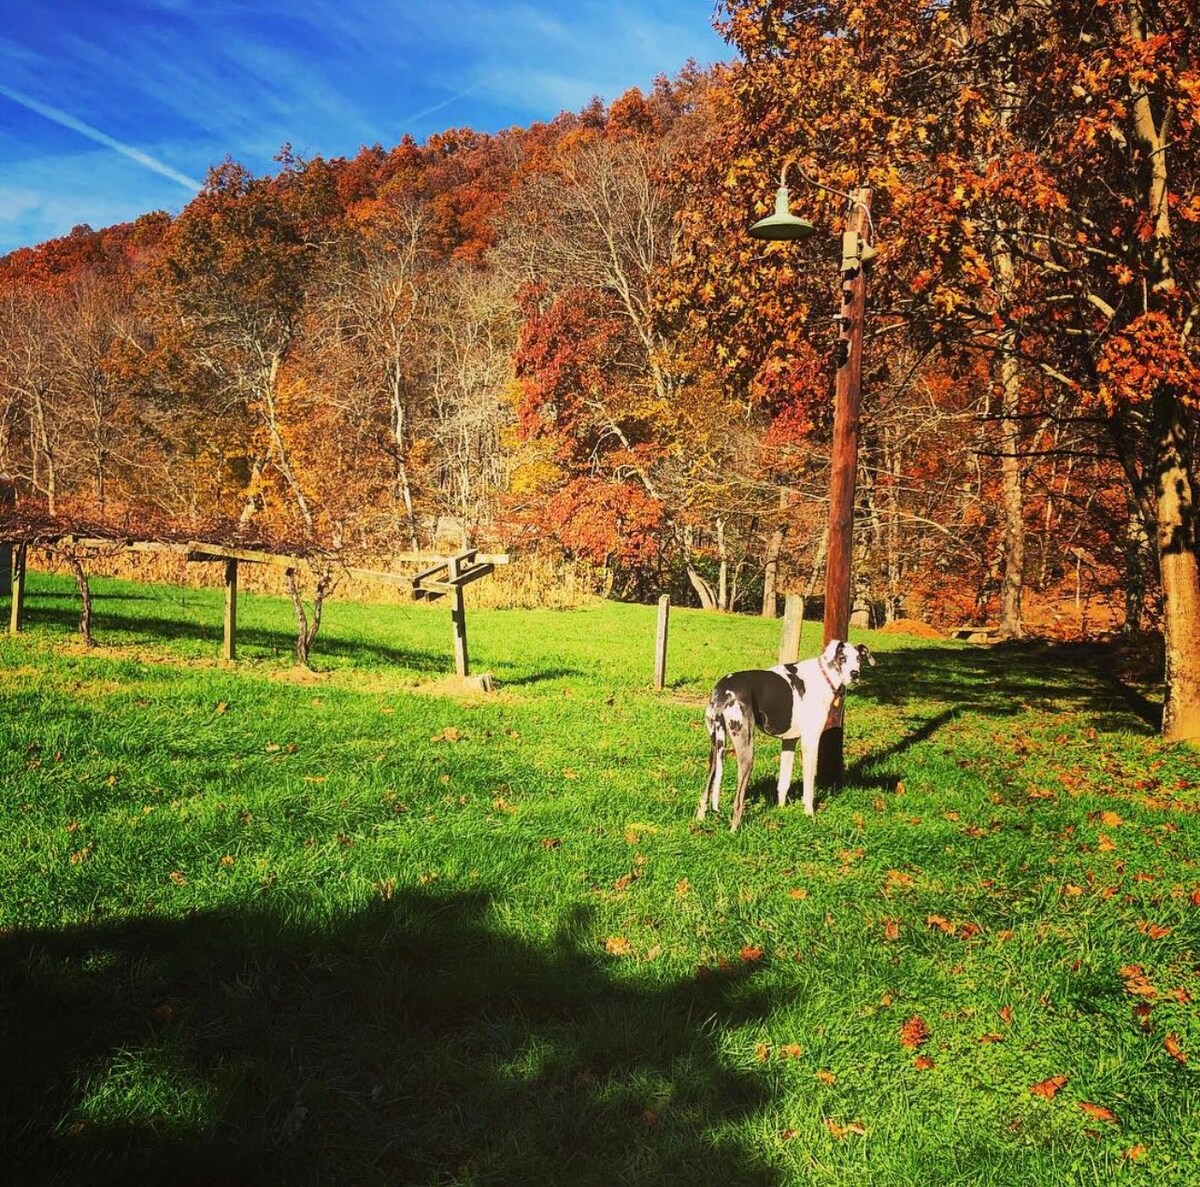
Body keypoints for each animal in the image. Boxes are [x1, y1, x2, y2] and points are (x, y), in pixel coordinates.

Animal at [700, 643, 878, 830]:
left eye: (859, 658)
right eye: (842, 658)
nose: (855, 674)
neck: (824, 676)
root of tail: (723, 690)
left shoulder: (789, 742)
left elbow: (784, 782)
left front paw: (781, 809)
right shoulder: (810, 743)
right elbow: (808, 787)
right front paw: (809, 814)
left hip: (715, 749)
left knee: (705, 792)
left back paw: (700, 819)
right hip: (746, 750)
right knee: (738, 801)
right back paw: (734, 829)